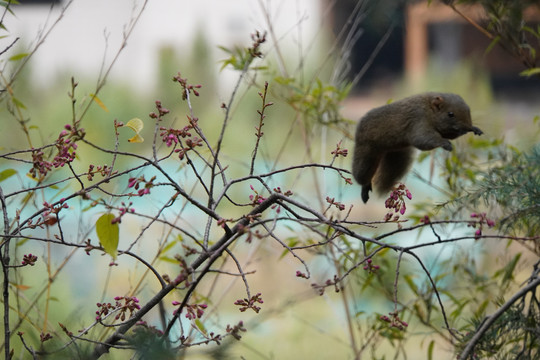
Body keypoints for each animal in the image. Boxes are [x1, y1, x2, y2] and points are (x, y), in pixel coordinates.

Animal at [352, 91, 484, 204]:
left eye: (468, 109)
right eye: (450, 114)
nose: (467, 127)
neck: (429, 110)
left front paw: (474, 129)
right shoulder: (418, 120)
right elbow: (421, 139)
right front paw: (445, 143)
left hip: (398, 156)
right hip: (366, 151)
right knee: (362, 173)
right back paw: (364, 187)